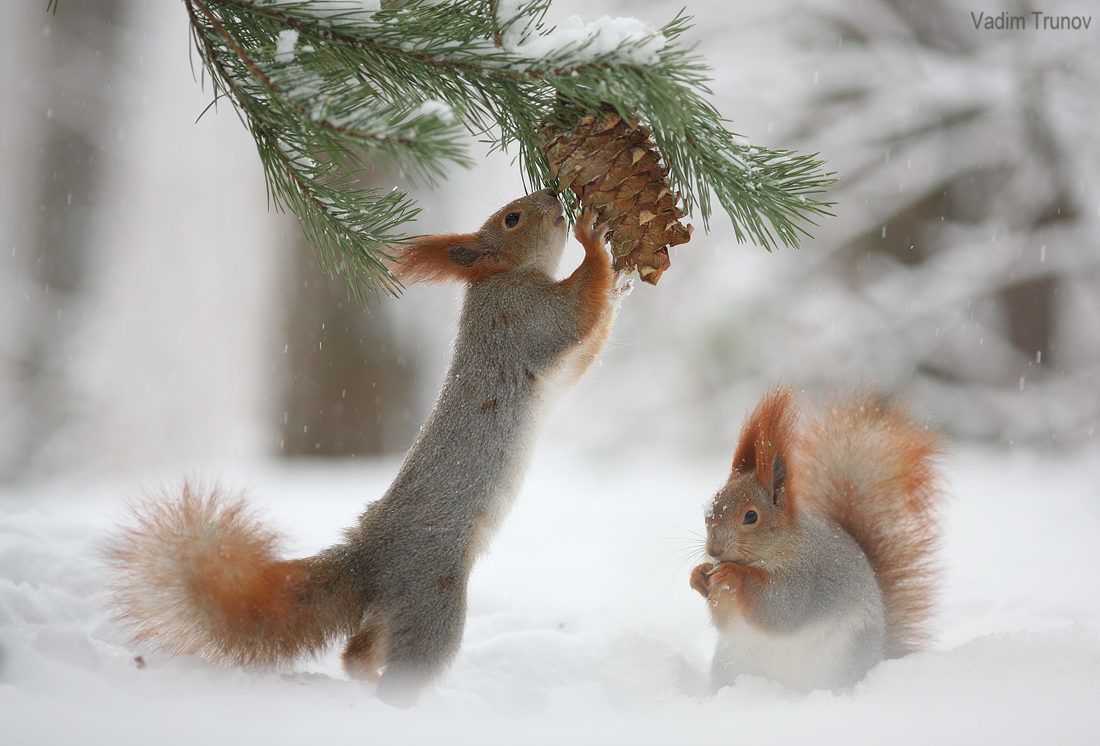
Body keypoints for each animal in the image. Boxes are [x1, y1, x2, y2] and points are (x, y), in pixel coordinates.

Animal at [105, 190, 620, 708]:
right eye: (512, 218)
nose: (553, 194)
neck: (502, 277)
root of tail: (368, 559)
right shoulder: (525, 317)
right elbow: (579, 311)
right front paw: (594, 242)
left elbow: (588, 348)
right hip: (432, 601)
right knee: (408, 665)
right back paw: (401, 704)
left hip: (396, 609)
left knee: (357, 652)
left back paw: (366, 679)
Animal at [690, 389, 941, 690]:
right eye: (710, 507)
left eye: (751, 516)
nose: (714, 550)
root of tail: (879, 653)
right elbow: (725, 621)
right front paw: (698, 575)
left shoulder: (807, 578)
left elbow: (780, 608)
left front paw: (732, 575)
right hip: (730, 661)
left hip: (844, 656)